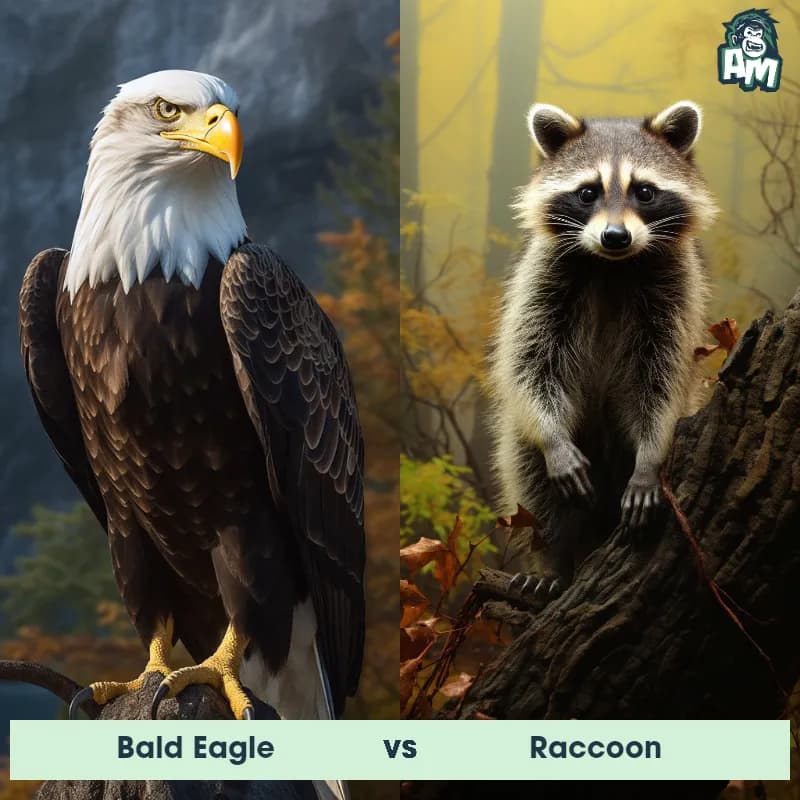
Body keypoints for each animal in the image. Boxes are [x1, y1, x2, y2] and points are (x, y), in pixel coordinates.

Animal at [488, 100, 718, 596]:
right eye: (587, 192)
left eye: (645, 192)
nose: (615, 236)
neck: (613, 266)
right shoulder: (541, 276)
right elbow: (529, 363)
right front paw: (553, 438)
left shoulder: (676, 289)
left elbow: (663, 381)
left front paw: (652, 455)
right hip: (524, 451)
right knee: (532, 483)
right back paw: (556, 563)